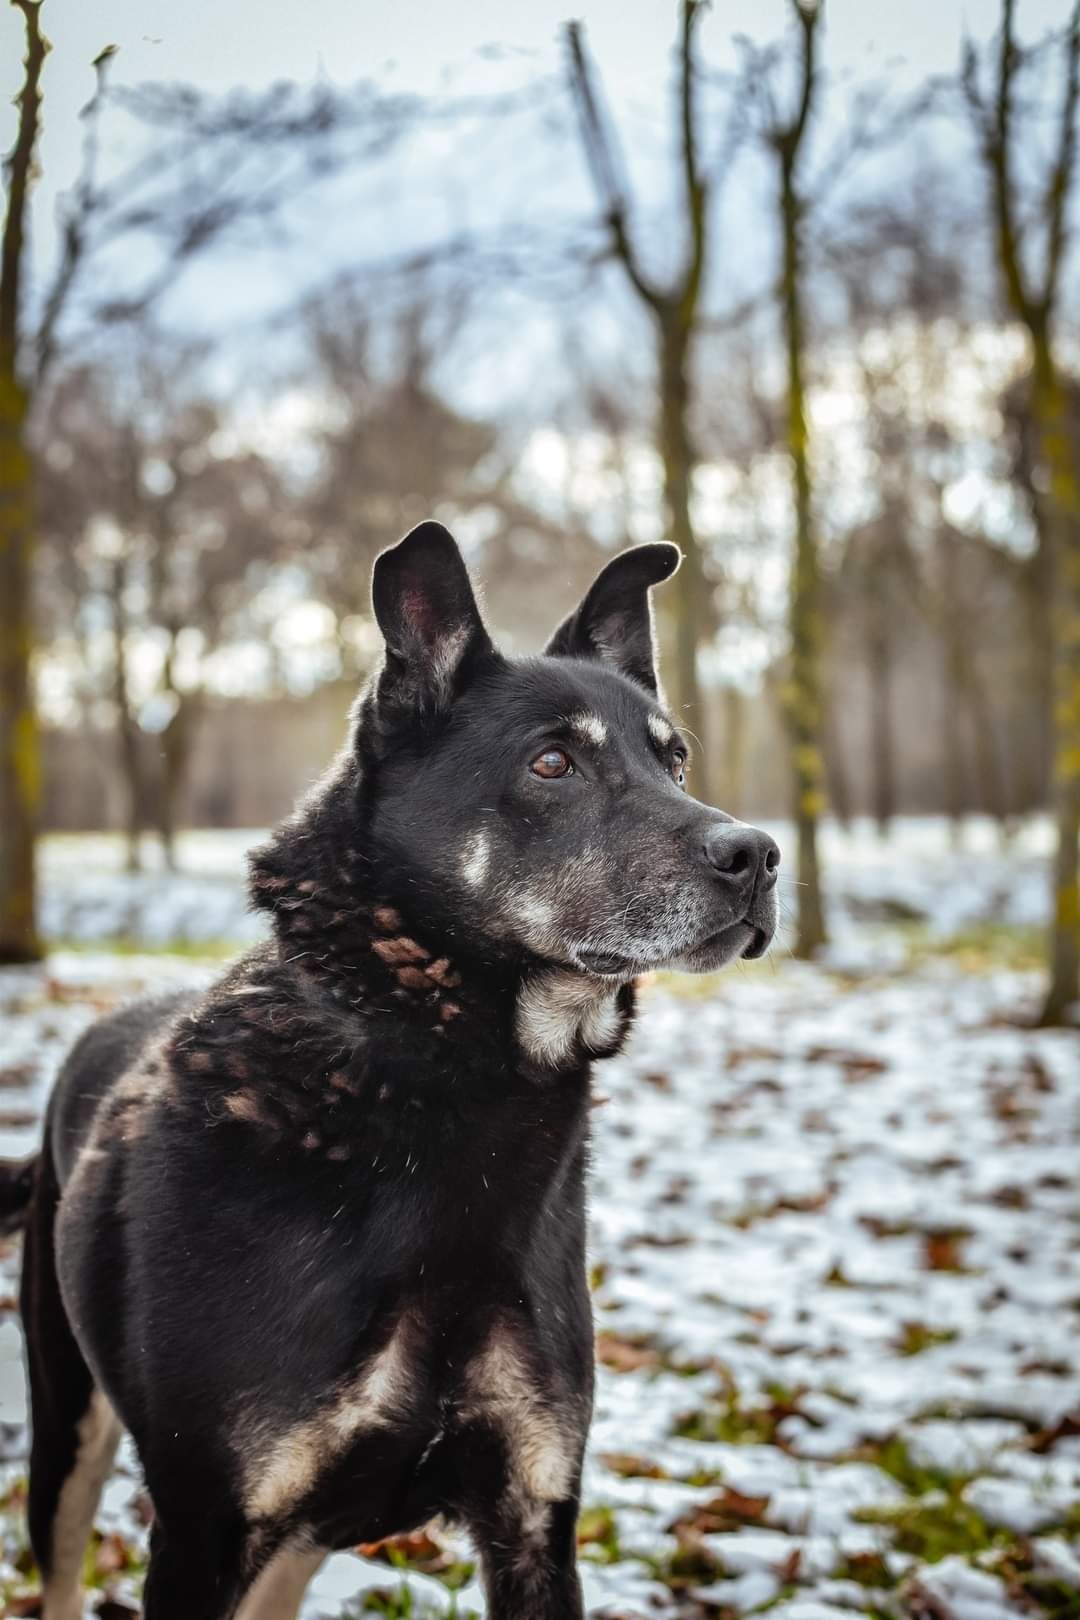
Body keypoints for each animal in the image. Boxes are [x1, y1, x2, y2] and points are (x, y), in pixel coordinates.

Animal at [2, 524, 777, 1613]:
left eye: (675, 759)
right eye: (552, 762)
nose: (759, 857)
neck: (448, 1087)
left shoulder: (535, 1518)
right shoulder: (201, 1531)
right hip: (69, 1430)